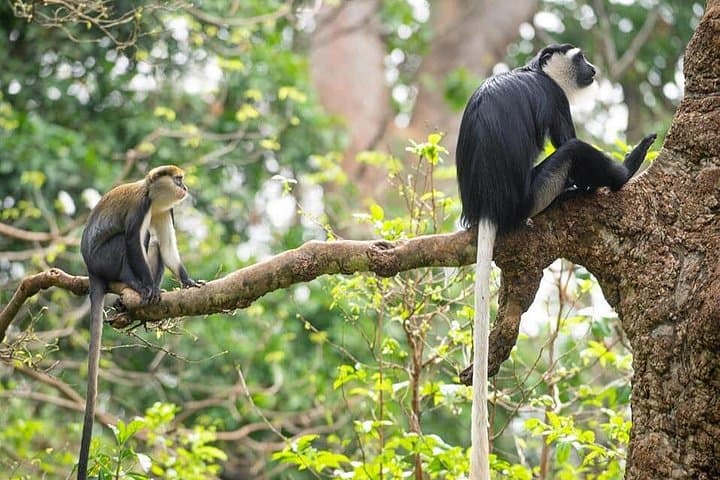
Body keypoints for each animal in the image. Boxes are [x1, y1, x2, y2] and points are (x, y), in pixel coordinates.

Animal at [77, 165, 202, 480]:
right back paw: (135, 284)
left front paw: (188, 282)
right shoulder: (141, 207)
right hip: (104, 259)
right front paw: (146, 287)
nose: (185, 187)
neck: (154, 197)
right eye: (178, 179)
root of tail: (90, 268)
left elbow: (167, 247)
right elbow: (134, 241)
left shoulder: (165, 212)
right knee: (129, 241)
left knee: (154, 243)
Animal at [455, 44, 656, 480]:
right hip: (536, 192)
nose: (593, 68)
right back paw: (620, 173)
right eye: (580, 59)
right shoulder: (554, 98)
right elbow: (567, 139)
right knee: (573, 153)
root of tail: (489, 209)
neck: (534, 71)